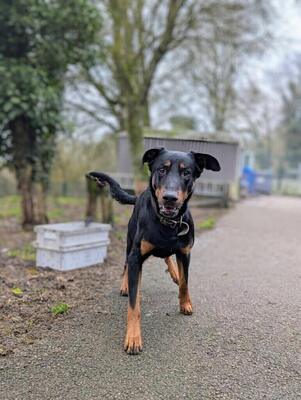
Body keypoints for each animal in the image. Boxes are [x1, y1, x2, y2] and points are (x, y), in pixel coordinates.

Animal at [85, 148, 219, 354]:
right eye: (162, 170)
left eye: (186, 172)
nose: (170, 198)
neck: (168, 222)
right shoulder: (136, 256)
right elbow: (134, 305)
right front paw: (133, 338)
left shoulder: (185, 253)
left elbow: (185, 283)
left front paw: (185, 302)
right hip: (130, 242)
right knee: (126, 266)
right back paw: (126, 285)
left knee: (167, 258)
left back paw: (174, 273)